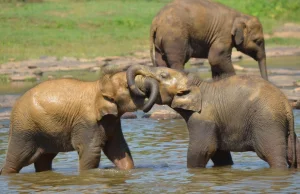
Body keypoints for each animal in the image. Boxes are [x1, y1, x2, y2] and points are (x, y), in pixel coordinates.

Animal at [127, 65, 300, 168]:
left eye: (163, 75)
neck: (198, 84)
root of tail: (286, 104)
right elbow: (219, 154)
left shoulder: (203, 119)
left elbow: (202, 150)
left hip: (266, 122)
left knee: (272, 155)